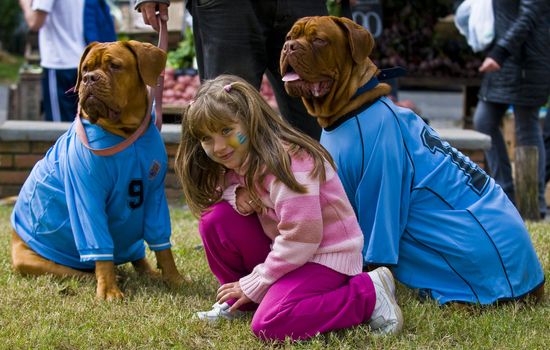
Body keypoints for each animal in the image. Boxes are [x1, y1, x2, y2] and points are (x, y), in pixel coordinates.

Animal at [10, 40, 185, 298]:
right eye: (85, 69)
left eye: (115, 66)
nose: (89, 79)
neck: (125, 132)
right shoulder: (86, 196)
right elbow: (101, 250)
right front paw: (109, 290)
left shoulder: (154, 196)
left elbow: (163, 246)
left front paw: (173, 278)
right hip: (29, 260)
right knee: (75, 271)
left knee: (136, 256)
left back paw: (149, 273)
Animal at [282, 16, 544, 304]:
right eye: (289, 37)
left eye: (319, 40)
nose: (289, 47)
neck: (351, 107)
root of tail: (534, 284)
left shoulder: (380, 187)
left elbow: (369, 245)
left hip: (448, 233)